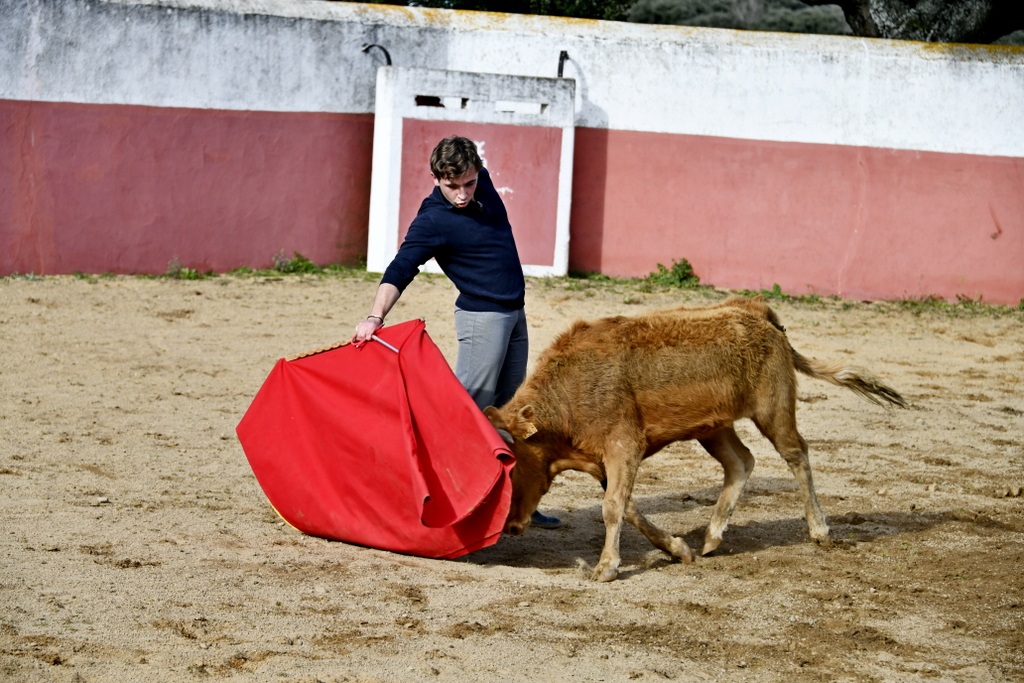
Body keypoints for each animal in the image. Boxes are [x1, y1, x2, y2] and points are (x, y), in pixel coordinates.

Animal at [483, 294, 909, 581]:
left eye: (513, 465)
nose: (510, 527)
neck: (568, 394)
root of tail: (754, 310)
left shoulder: (624, 446)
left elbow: (613, 507)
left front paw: (606, 568)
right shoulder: (604, 460)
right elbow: (628, 507)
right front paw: (678, 549)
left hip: (773, 410)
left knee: (796, 454)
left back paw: (819, 530)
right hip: (715, 427)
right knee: (741, 461)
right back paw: (712, 537)